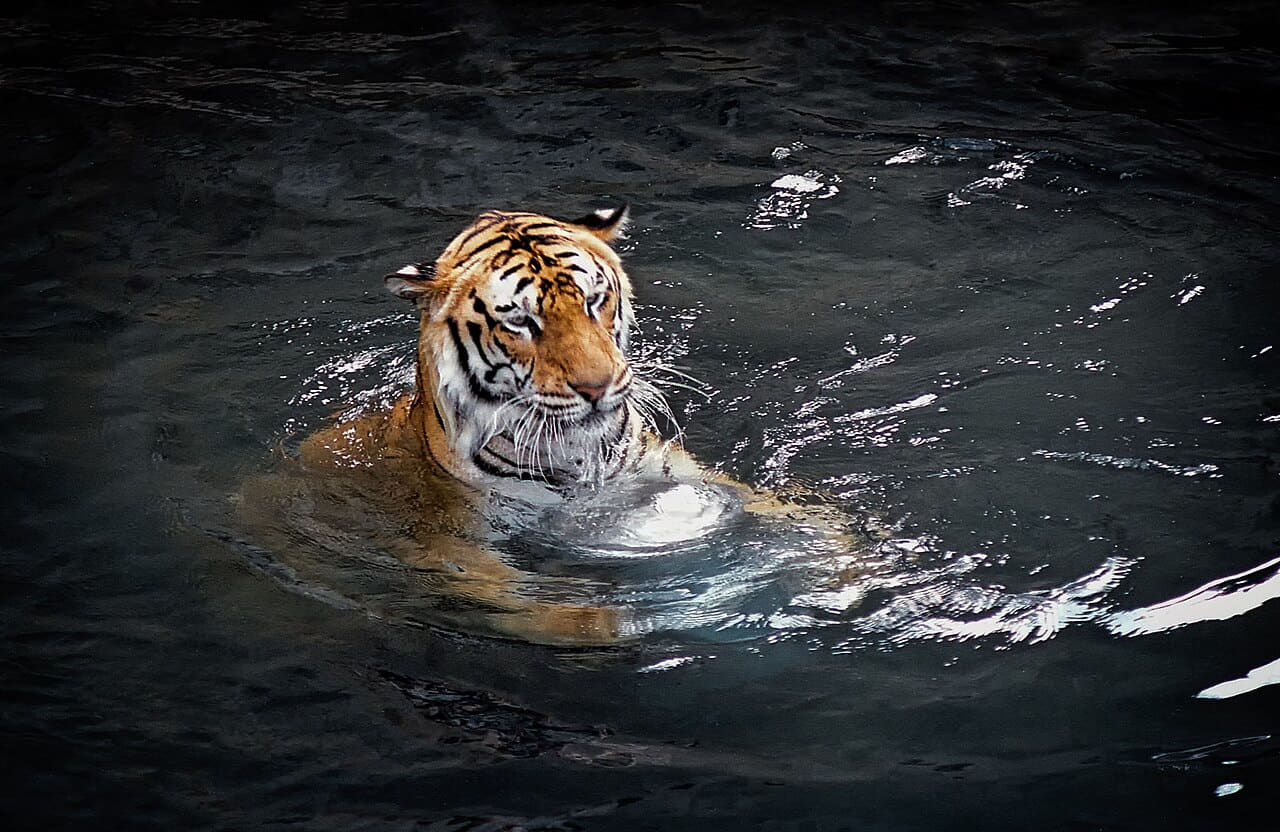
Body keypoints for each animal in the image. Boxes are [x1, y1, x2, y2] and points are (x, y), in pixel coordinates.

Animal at [252, 205, 864, 646]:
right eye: (522, 321)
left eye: (595, 301)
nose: (598, 387)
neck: (578, 452)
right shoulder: (458, 544)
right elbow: (561, 614)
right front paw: (629, 615)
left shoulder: (669, 473)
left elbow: (784, 511)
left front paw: (845, 563)